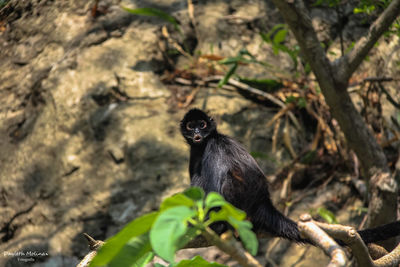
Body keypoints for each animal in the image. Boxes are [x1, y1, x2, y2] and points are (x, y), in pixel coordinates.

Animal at [180, 108, 400, 245]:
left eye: (202, 124)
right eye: (191, 126)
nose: (198, 132)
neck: (204, 143)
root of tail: (263, 200)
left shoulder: (212, 145)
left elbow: (213, 187)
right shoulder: (195, 151)